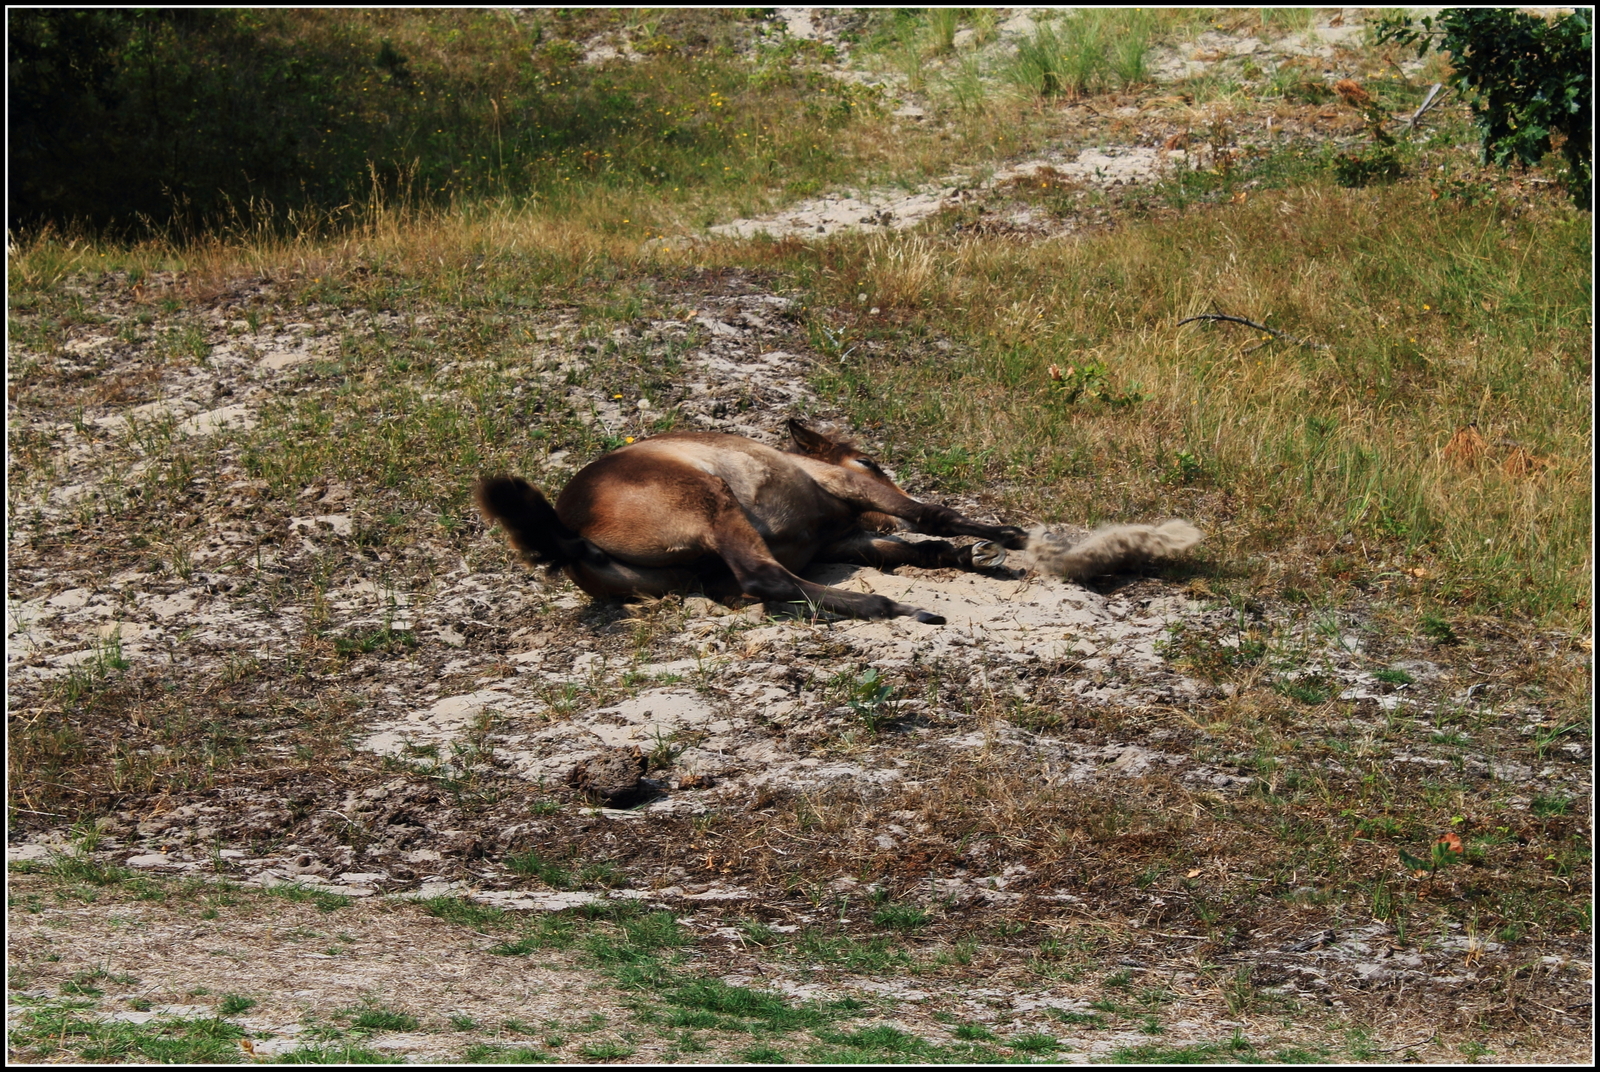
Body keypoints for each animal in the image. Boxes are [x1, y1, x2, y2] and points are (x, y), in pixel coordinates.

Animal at [475, 419, 1200, 625]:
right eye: (873, 458)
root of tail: (570, 535)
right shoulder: (849, 486)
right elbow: (929, 515)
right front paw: (1010, 539)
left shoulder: (846, 536)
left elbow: (912, 546)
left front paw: (971, 557)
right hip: (712, 501)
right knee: (764, 579)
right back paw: (893, 608)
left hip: (700, 565)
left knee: (755, 584)